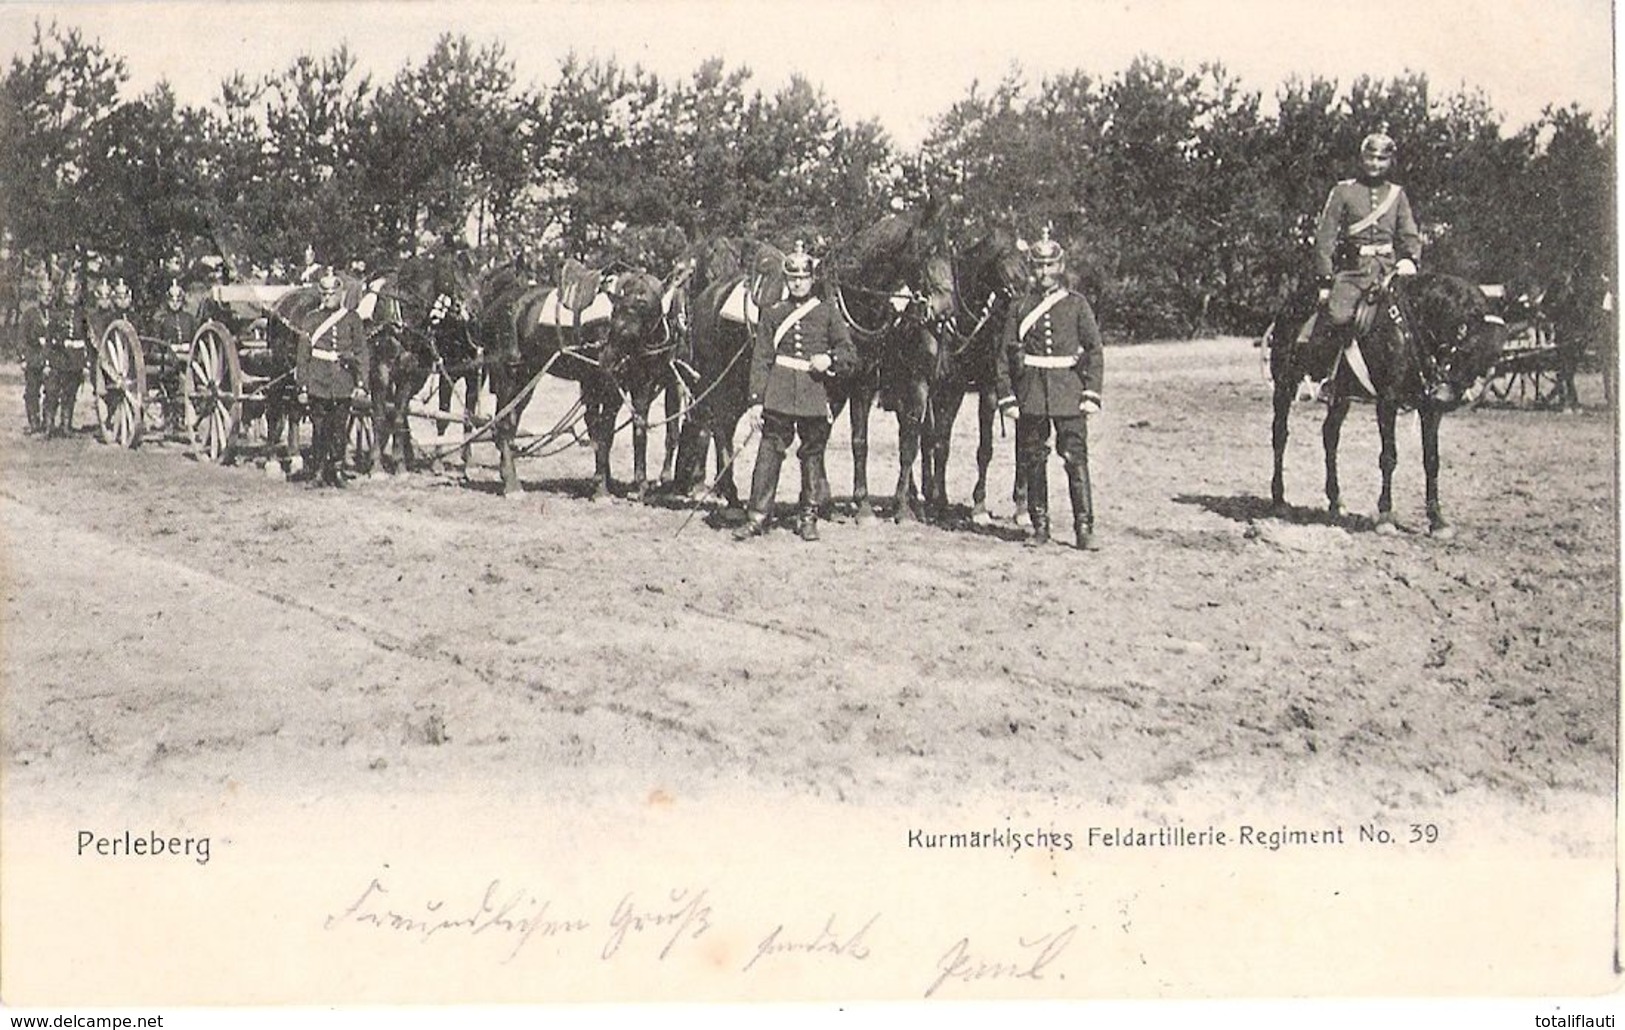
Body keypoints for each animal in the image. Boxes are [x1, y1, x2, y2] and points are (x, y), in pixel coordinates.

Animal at [474, 259, 679, 500]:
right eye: (615, 310)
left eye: (642, 306)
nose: (607, 358)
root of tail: (496, 303)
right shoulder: (609, 387)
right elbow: (604, 434)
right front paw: (601, 489)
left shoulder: (641, 385)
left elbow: (638, 430)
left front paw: (639, 486)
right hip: (508, 375)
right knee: (504, 424)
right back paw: (513, 486)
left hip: (527, 378)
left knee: (509, 421)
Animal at [1267, 271, 1508, 536]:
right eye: (1466, 349)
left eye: (1489, 362)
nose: (1446, 397)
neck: (1411, 326)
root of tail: (1292, 302)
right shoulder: (1387, 402)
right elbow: (1389, 458)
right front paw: (1385, 516)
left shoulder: (1430, 409)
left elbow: (1432, 461)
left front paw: (1437, 520)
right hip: (1285, 383)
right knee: (1280, 435)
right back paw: (1279, 500)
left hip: (1341, 395)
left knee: (1330, 435)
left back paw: (1335, 501)